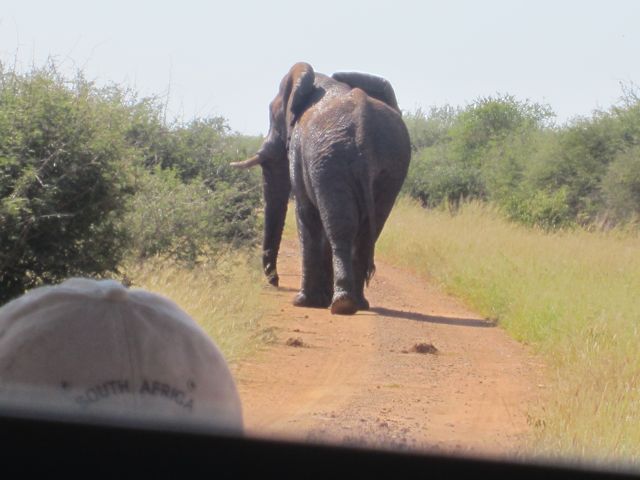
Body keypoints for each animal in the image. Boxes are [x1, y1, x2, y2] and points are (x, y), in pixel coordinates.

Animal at [231, 62, 410, 316]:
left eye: (273, 115)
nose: (274, 281)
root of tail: (363, 128)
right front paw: (320, 299)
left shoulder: (301, 152)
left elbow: (305, 213)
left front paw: (304, 301)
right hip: (391, 165)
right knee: (368, 232)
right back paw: (357, 303)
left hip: (329, 159)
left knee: (339, 227)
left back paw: (342, 304)